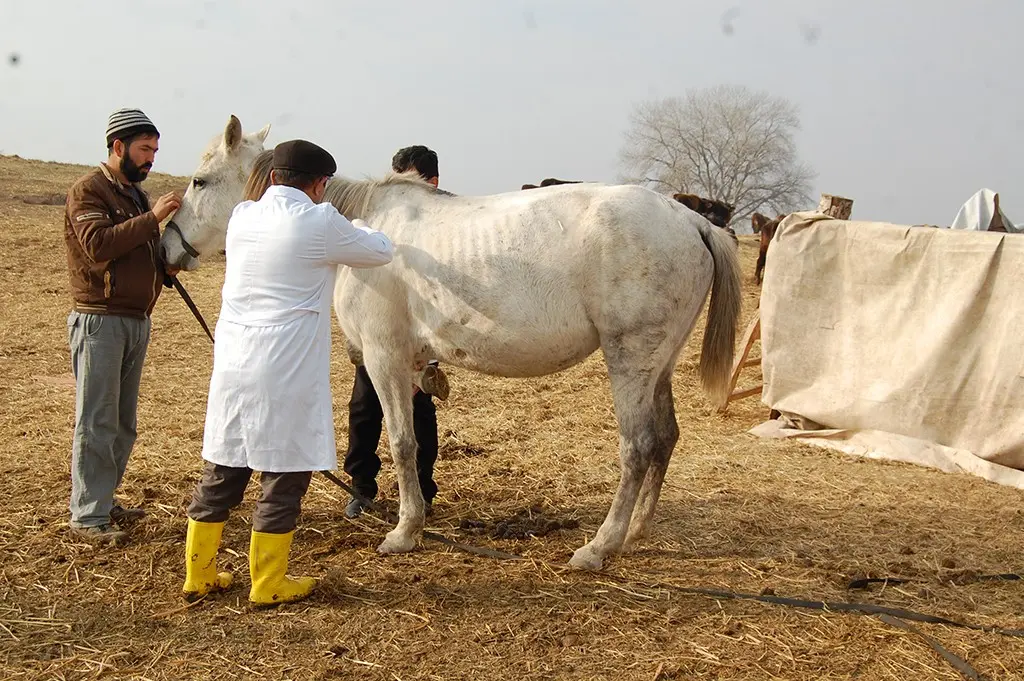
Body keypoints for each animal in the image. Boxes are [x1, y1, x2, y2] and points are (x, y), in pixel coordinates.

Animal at [159, 115, 741, 569]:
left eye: (200, 180)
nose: (167, 247)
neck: (362, 225)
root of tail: (691, 219)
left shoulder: (385, 359)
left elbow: (400, 442)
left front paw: (402, 532)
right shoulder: (415, 364)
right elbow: (417, 439)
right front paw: (416, 517)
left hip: (631, 361)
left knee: (638, 446)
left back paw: (599, 546)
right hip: (657, 365)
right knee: (665, 437)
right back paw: (636, 532)